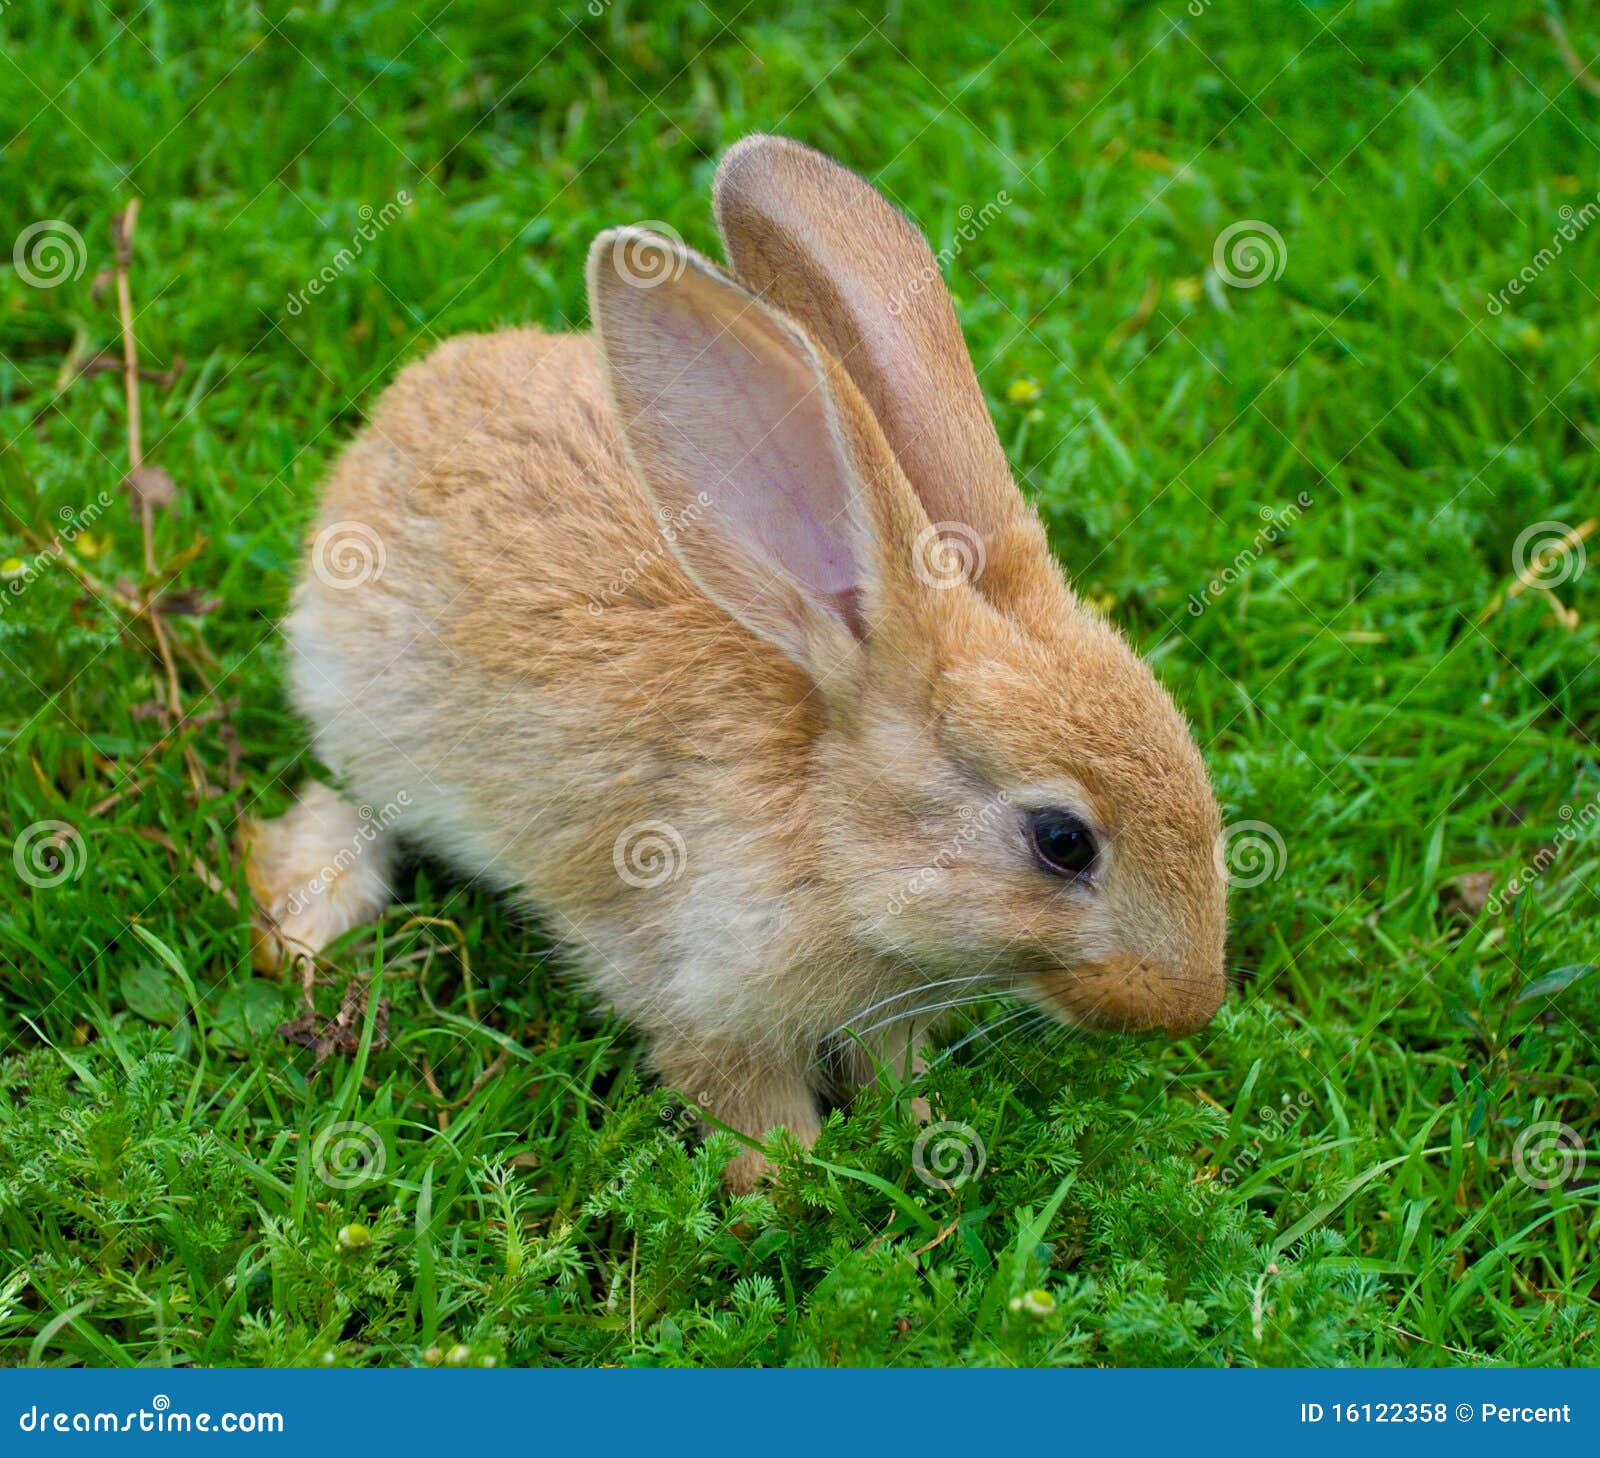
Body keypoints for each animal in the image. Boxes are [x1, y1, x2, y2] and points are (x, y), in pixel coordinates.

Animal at [245, 134, 1228, 1191]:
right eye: (1062, 841)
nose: (1189, 1003)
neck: (832, 833)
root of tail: (396, 417)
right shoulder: (702, 995)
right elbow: (749, 1107)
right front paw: (793, 1189)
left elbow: (893, 1072)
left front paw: (922, 1135)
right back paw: (306, 920)